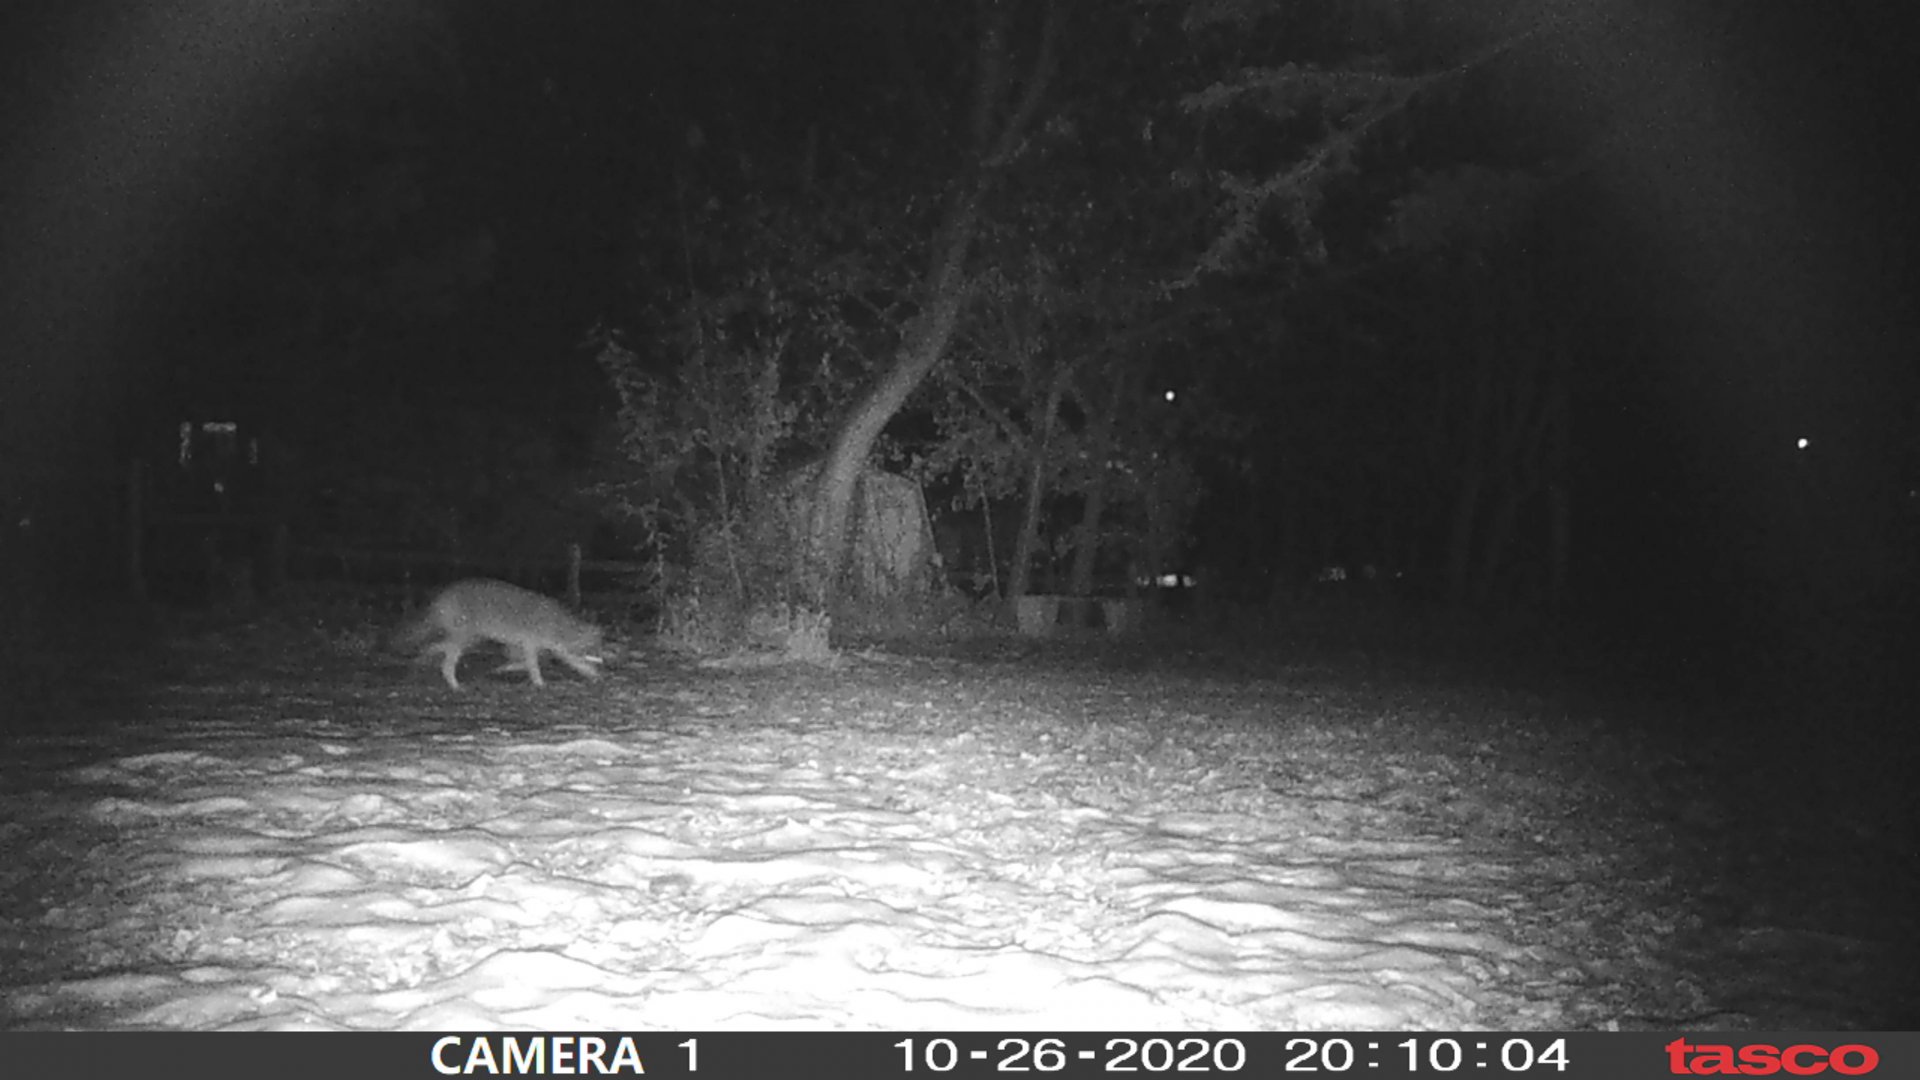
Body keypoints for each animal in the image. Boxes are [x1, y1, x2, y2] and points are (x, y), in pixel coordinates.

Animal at [393, 579, 605, 690]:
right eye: (595, 648)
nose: (603, 662)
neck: (560, 627)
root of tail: (442, 595)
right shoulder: (529, 644)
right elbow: (533, 666)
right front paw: (539, 683)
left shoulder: (524, 647)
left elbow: (520, 663)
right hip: (464, 639)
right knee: (446, 662)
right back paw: (454, 684)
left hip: (469, 640)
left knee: (433, 649)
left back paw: (421, 664)